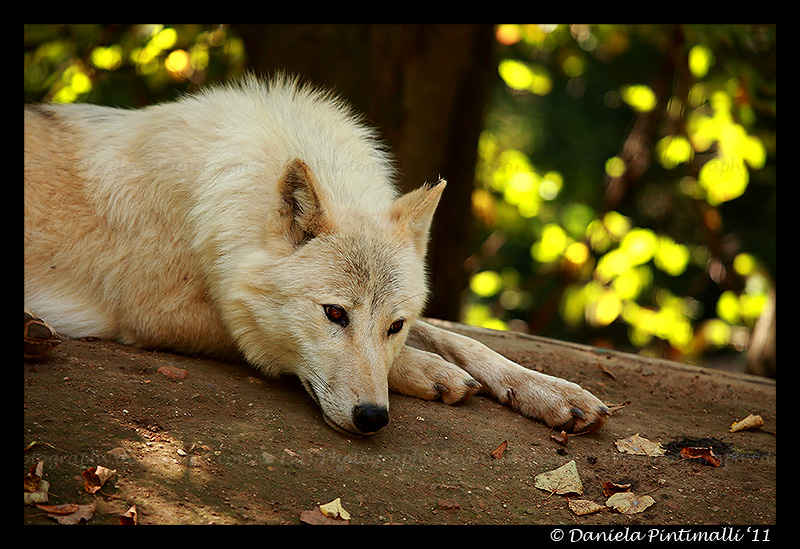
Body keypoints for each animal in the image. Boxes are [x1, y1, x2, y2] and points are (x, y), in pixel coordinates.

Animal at [25, 75, 608, 434]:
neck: (212, 201)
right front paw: (430, 371)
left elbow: (465, 342)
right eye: (333, 313)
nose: (373, 418)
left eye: (394, 325)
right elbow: (258, 338)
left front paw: (551, 391)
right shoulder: (160, 312)